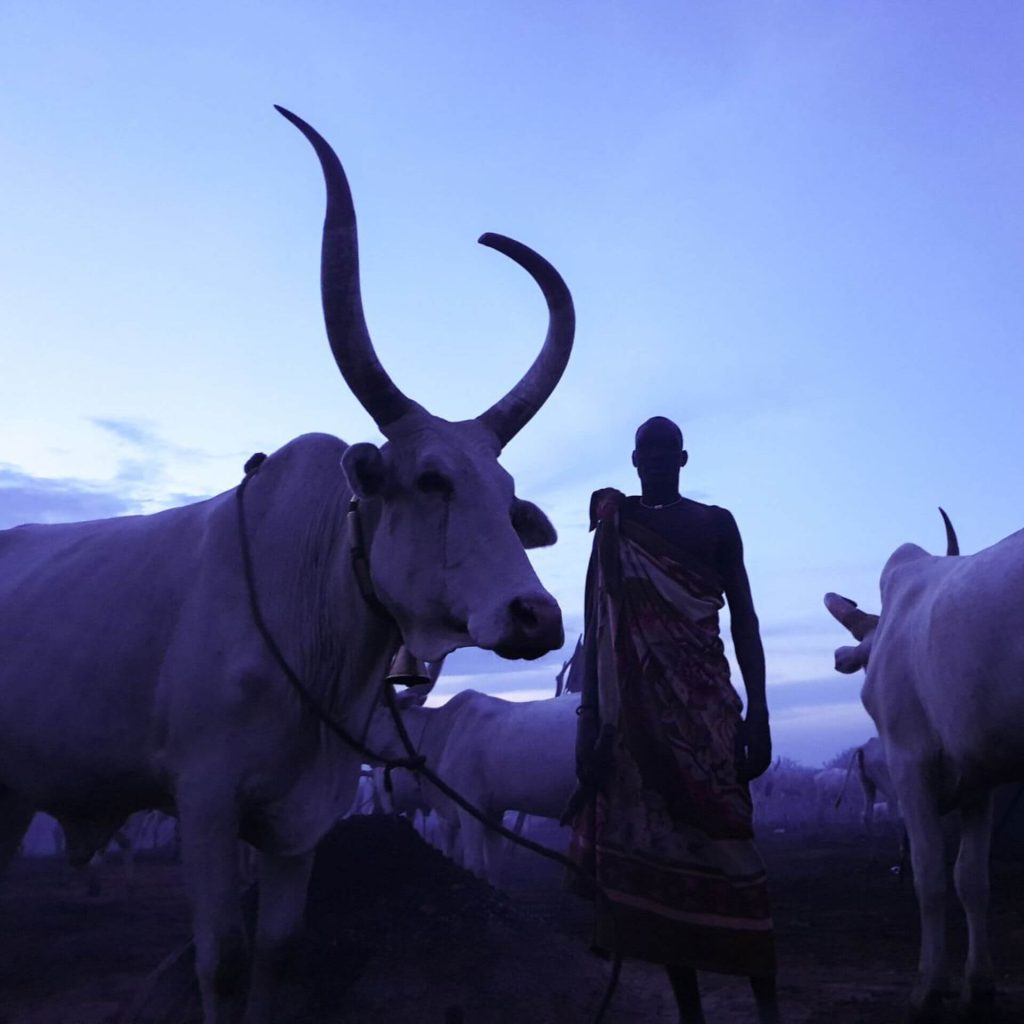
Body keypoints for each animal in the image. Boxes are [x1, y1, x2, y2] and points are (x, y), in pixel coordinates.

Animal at [368, 688, 581, 880]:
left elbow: (473, 863)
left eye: (374, 713)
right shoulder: (493, 813)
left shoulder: (469, 805)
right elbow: (494, 867)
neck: (439, 732)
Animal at [823, 509, 1024, 1015]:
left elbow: (930, 875)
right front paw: (978, 983)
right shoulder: (979, 784)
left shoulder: (911, 768)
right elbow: (971, 879)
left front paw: (929, 986)